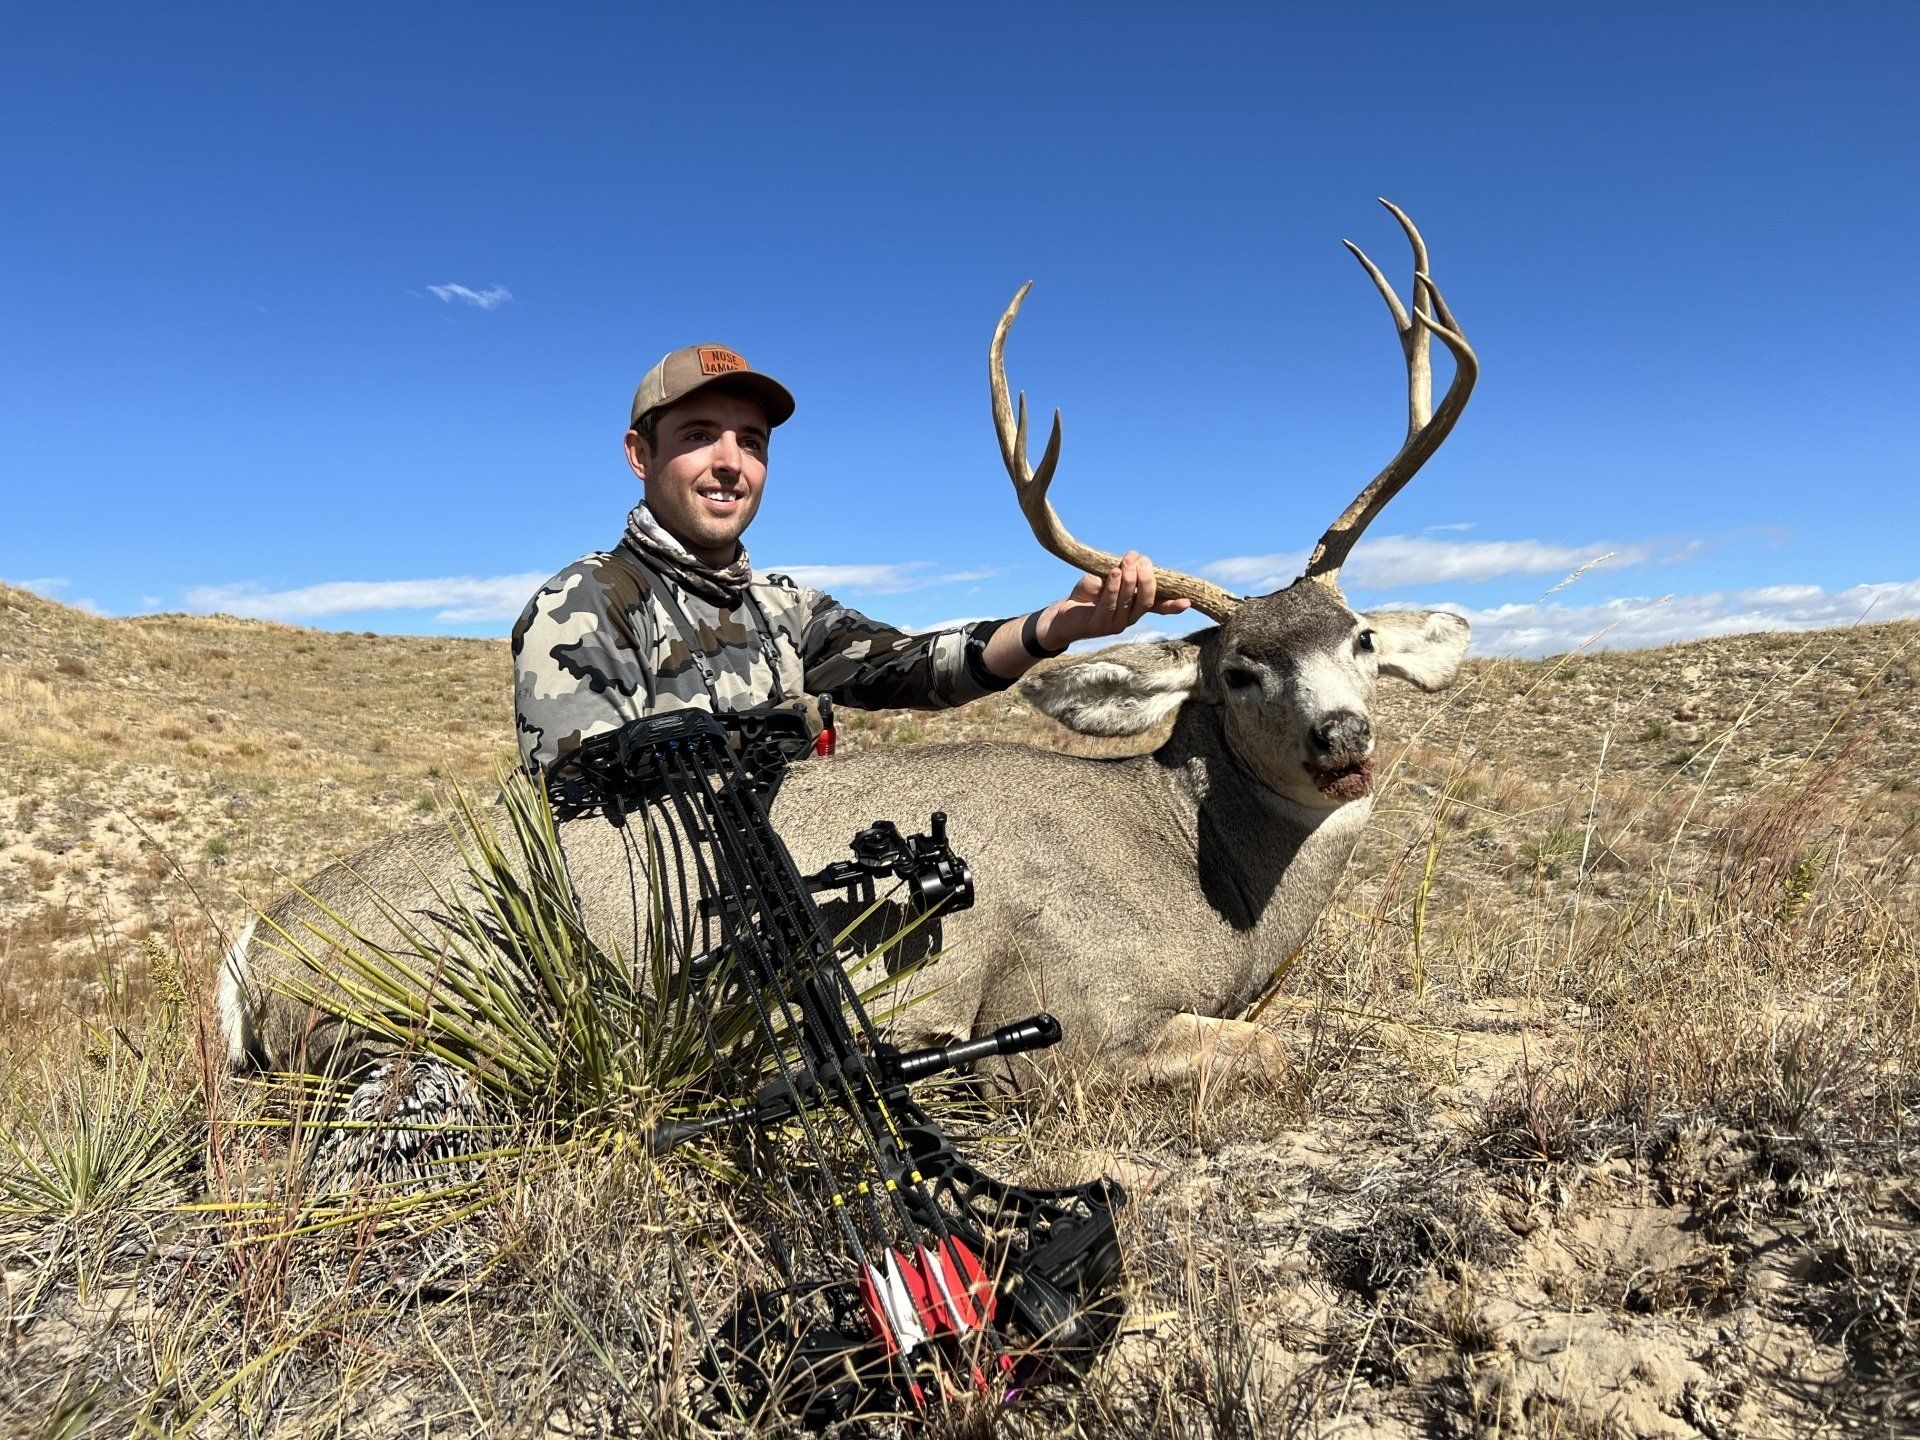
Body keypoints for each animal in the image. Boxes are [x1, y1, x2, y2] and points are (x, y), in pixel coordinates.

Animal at [218, 200, 1478, 1092]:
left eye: (1363, 638)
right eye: (1238, 670)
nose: (1342, 739)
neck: (1196, 878)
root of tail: (253, 945)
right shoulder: (1074, 1014)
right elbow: (1280, 1051)